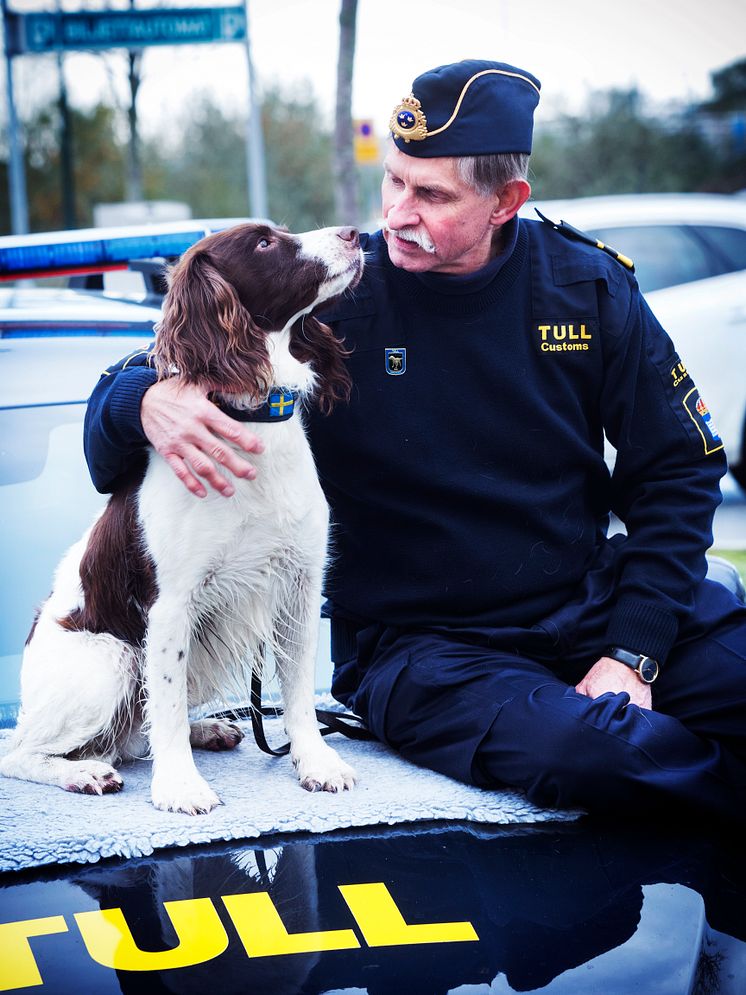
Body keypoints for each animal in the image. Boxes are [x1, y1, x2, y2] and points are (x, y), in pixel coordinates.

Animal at [0, 222, 360, 812]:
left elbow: (299, 692)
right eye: (264, 243)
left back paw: (205, 729)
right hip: (111, 659)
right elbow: (164, 705)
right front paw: (180, 786)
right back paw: (85, 772)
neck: (250, 420)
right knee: (24, 753)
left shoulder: (299, 587)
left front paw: (316, 763)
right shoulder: (171, 604)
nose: (354, 233)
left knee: (134, 732)